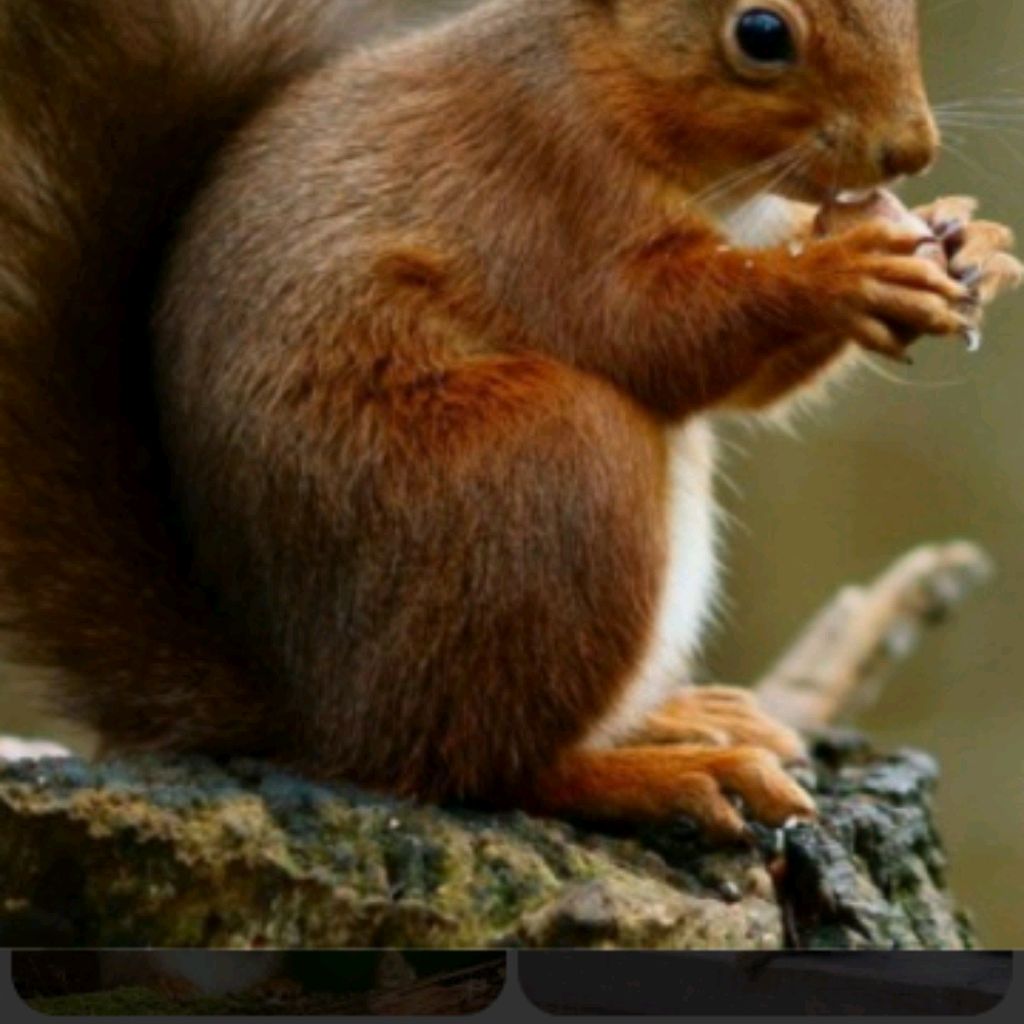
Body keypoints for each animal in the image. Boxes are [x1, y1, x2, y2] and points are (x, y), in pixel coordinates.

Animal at [1, 0, 1021, 843]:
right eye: (761, 33)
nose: (911, 152)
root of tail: (316, 713)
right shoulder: (547, 185)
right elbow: (652, 329)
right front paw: (847, 272)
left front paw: (971, 239)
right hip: (547, 461)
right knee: (475, 766)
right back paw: (666, 774)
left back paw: (679, 717)